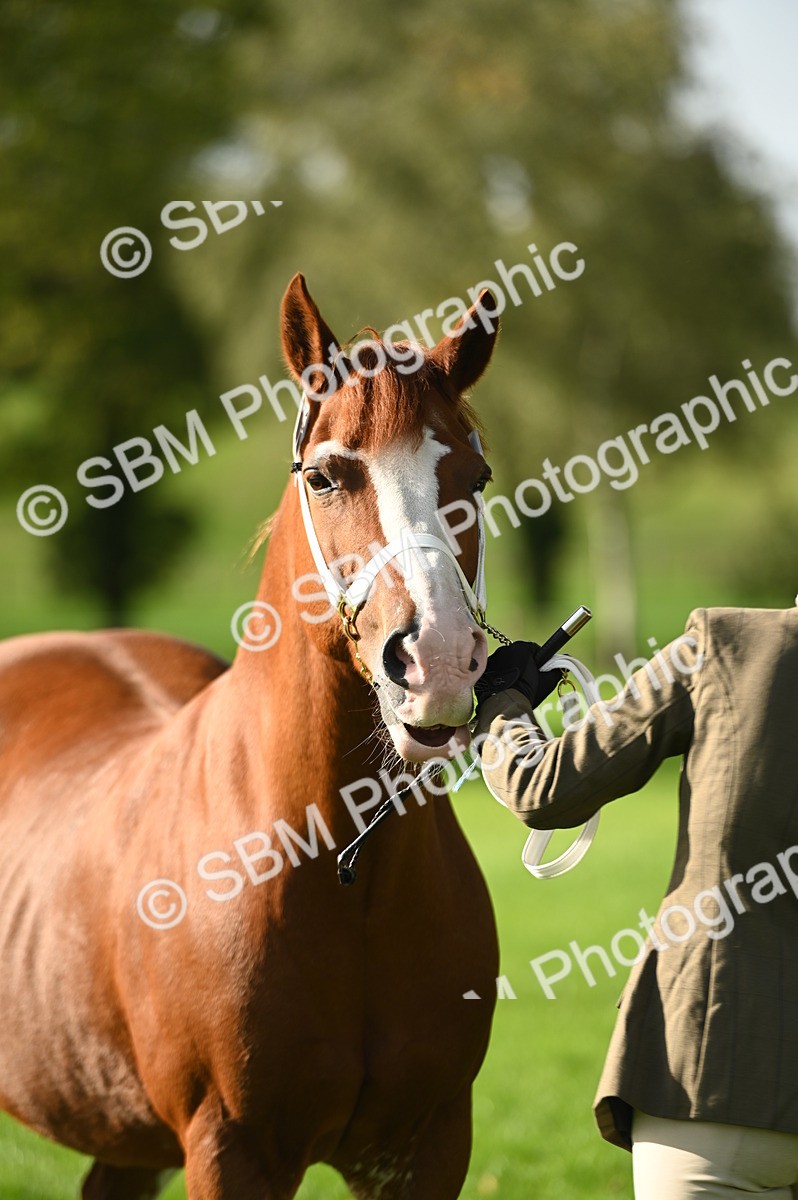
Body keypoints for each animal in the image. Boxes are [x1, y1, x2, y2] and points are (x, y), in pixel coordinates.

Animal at [0, 274, 501, 1199]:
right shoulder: (232, 1148)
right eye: (326, 476)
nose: (440, 660)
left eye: (475, 474)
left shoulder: (426, 1146)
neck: (333, 866)